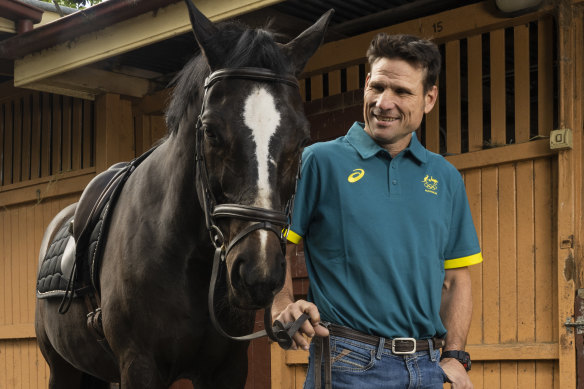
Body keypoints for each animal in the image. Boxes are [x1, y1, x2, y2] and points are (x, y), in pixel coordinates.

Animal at [34, 1, 334, 386]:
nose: (259, 271)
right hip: (63, 369)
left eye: (302, 137)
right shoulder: (139, 365)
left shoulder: (227, 369)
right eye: (211, 132)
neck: (185, 256)